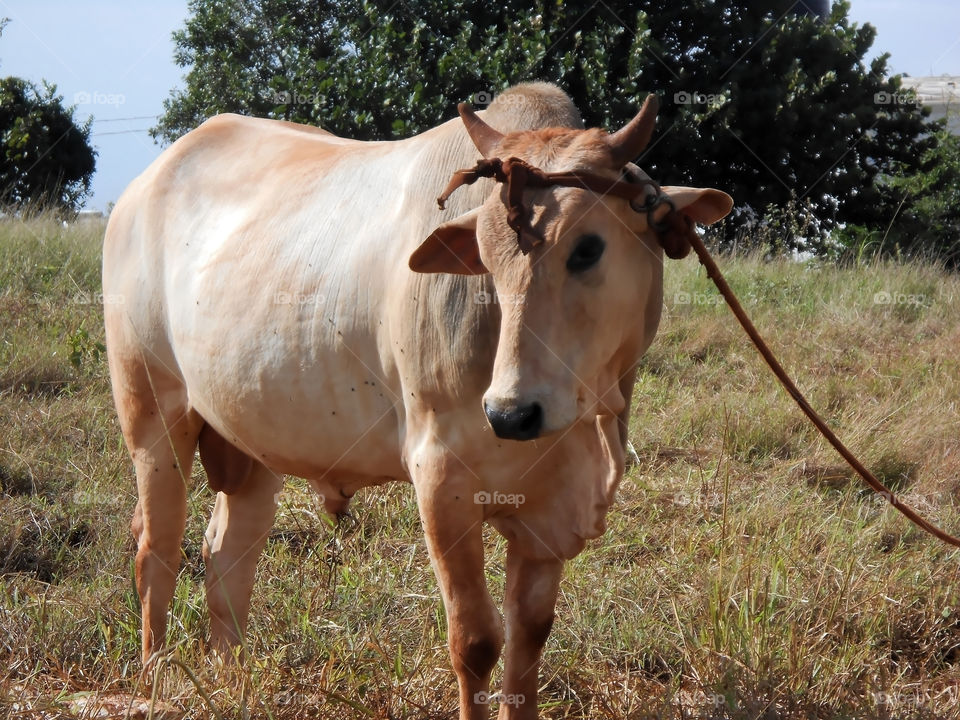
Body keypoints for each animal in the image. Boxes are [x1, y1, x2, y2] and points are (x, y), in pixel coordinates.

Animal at [103, 83, 731, 719]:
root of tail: (141, 187)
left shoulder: (548, 509)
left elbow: (529, 636)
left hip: (250, 441)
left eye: (588, 249)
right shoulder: (440, 475)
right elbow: (475, 642)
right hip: (152, 414)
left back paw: (231, 680)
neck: (586, 425)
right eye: (485, 258)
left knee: (228, 552)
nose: (510, 413)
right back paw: (153, 679)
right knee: (157, 546)